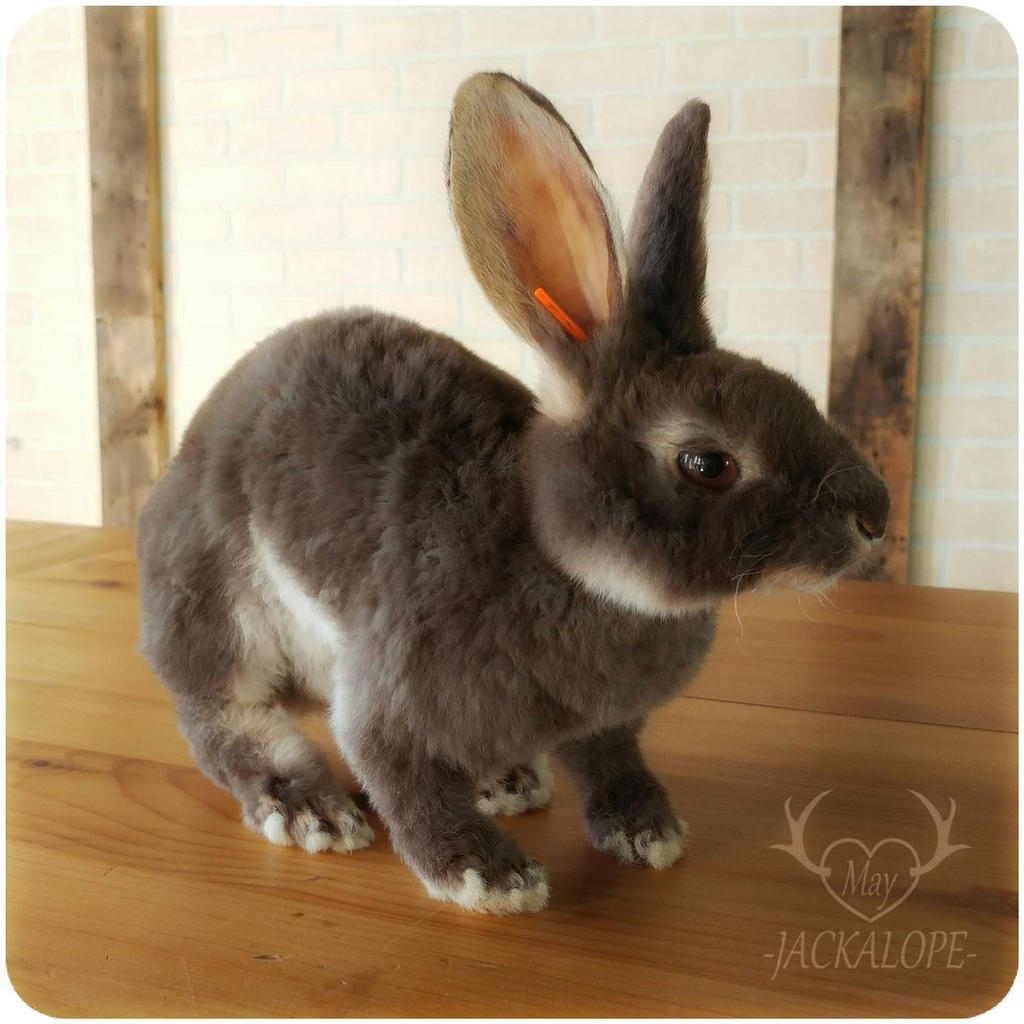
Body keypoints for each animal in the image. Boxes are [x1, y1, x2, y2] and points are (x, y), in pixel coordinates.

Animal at [136, 72, 889, 916]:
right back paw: (311, 809)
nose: (876, 513)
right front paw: (489, 876)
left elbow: (610, 760)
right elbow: (400, 776)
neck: (565, 562)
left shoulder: (605, 723)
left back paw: (506, 779)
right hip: (219, 613)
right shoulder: (390, 697)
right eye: (707, 463)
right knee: (223, 723)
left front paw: (649, 829)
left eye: (795, 391)